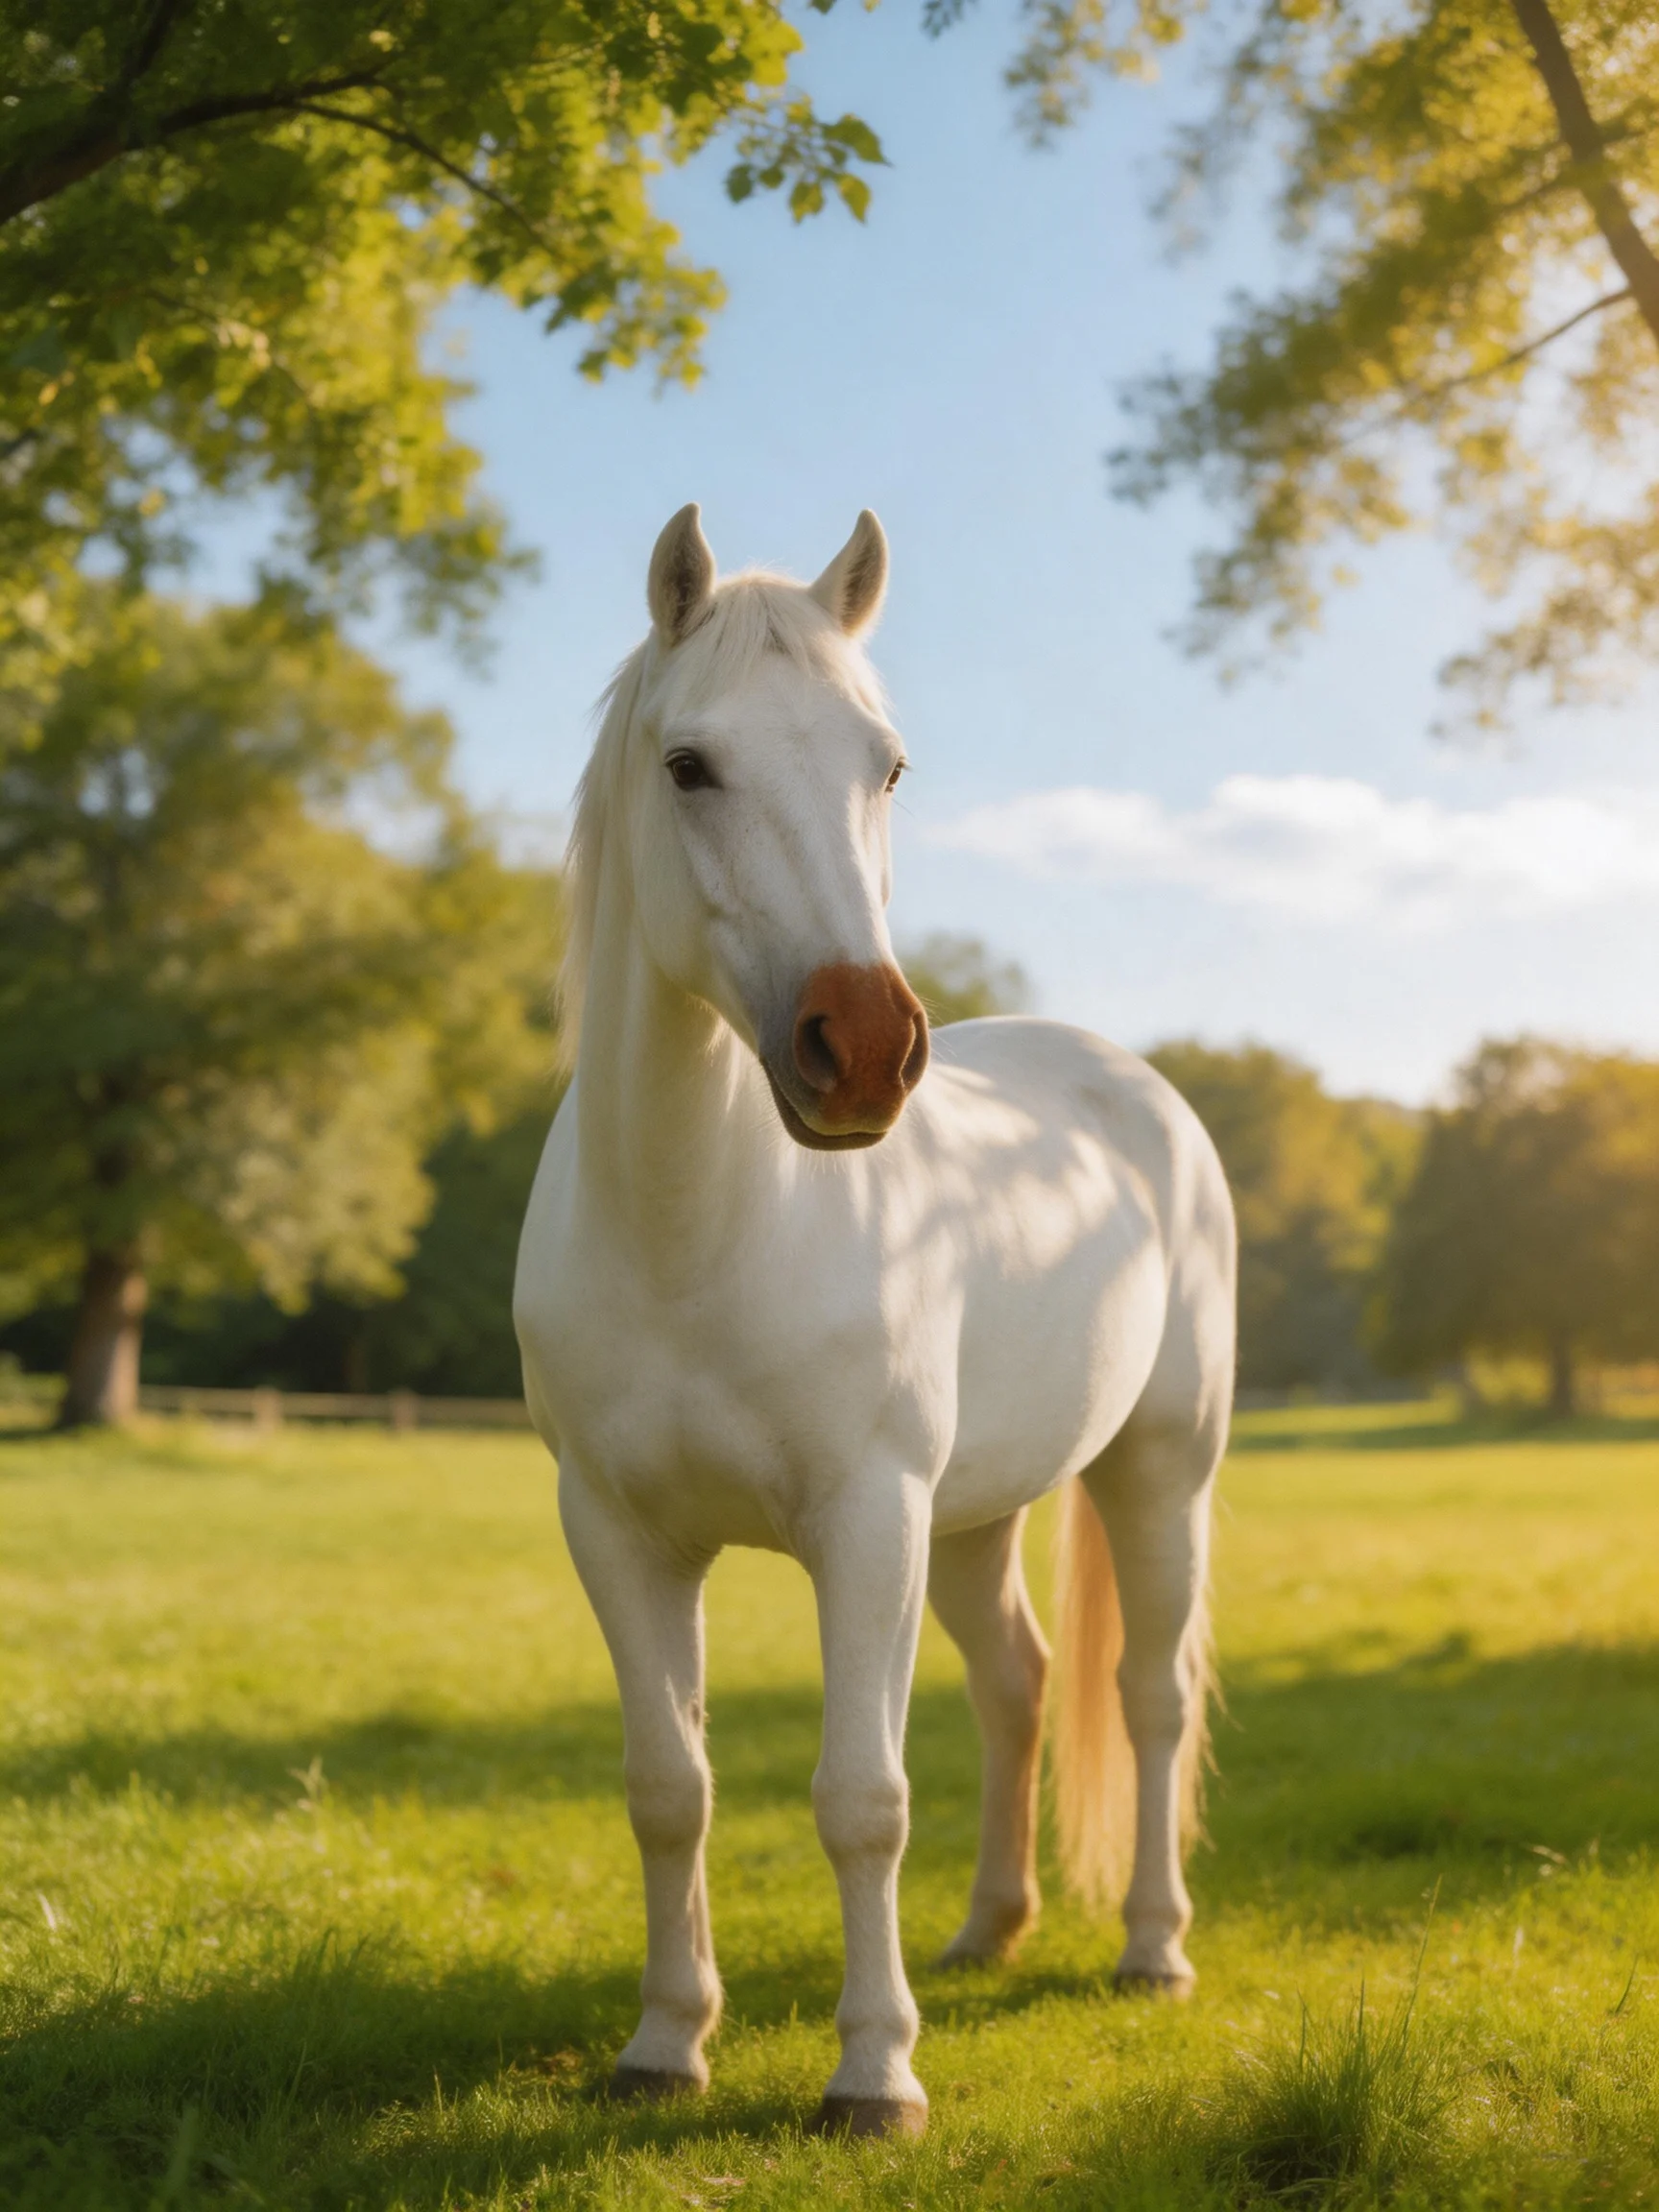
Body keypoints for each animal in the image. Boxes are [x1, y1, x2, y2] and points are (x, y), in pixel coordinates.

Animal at [513, 505, 1236, 2140]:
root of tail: (1128, 1080)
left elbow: (861, 1799)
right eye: (689, 764)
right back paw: (985, 1931)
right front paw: (666, 2044)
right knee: (1020, 1684)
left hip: (1156, 1473)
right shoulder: (619, 1536)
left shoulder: (865, 1522)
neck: (701, 1233)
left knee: (1148, 1696)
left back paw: (1150, 1951)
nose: (863, 1050)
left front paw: (873, 2075)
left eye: (887, 765)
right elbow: (670, 1788)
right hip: (972, 1520)